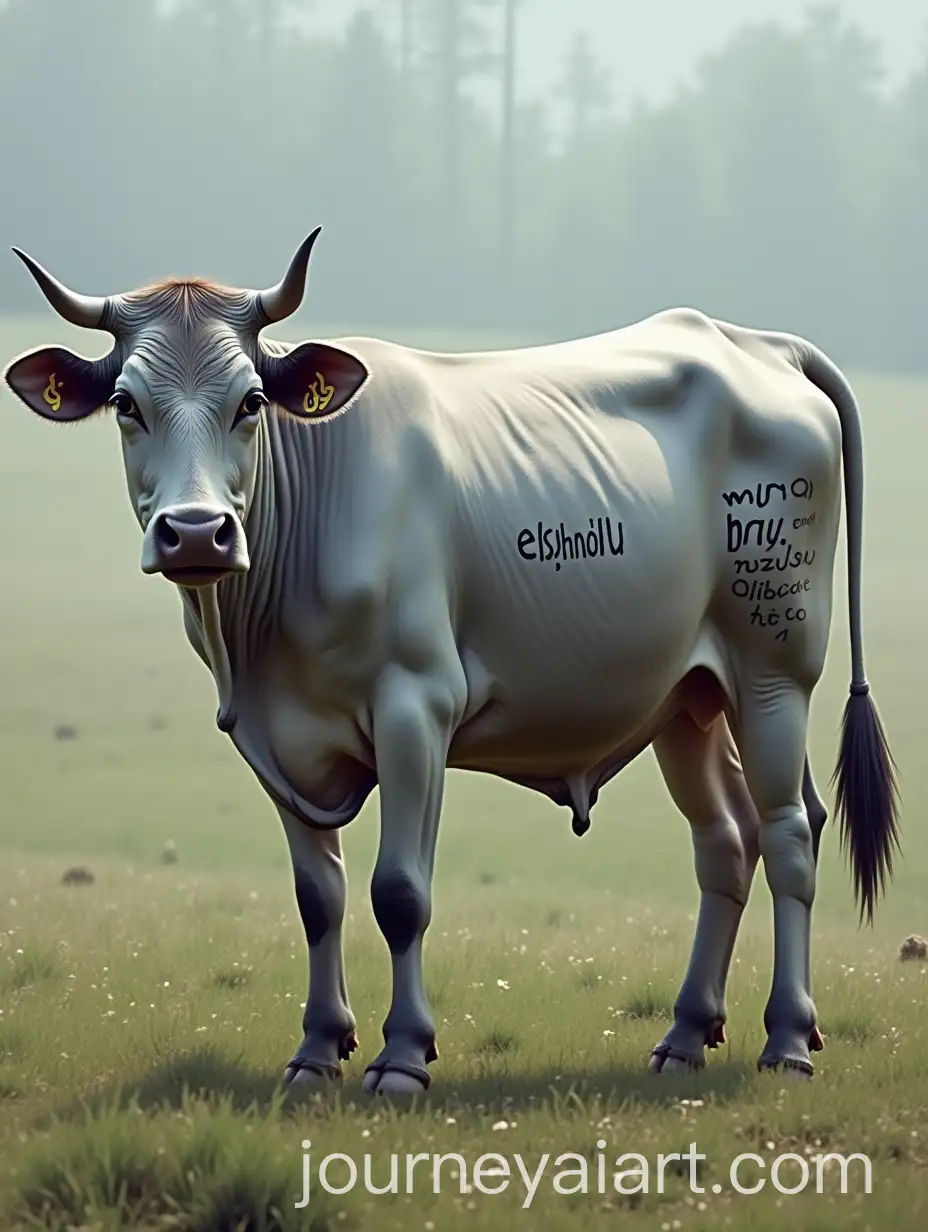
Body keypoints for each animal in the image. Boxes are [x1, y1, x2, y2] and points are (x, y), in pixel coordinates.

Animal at [4, 230, 899, 1094]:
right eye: (126, 404)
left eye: (250, 402)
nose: (196, 532)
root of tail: (761, 345)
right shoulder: (277, 737)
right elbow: (318, 897)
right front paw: (317, 1050)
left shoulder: (415, 706)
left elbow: (399, 893)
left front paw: (402, 1056)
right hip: (686, 694)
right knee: (725, 839)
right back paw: (683, 1035)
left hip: (773, 666)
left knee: (789, 831)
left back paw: (788, 1040)